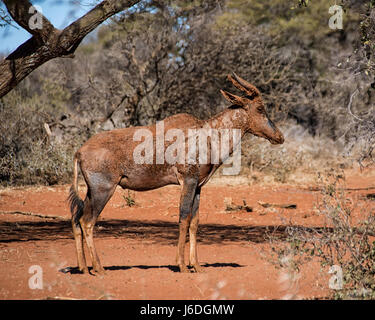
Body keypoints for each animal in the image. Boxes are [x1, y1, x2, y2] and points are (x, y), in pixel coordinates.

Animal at [68, 73, 284, 276]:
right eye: (260, 108)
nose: (279, 137)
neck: (206, 132)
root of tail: (79, 152)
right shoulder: (187, 181)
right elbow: (183, 218)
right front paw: (181, 266)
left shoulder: (198, 186)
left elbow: (195, 222)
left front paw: (196, 266)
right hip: (103, 190)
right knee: (87, 222)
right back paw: (99, 269)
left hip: (91, 191)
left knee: (77, 219)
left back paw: (84, 268)